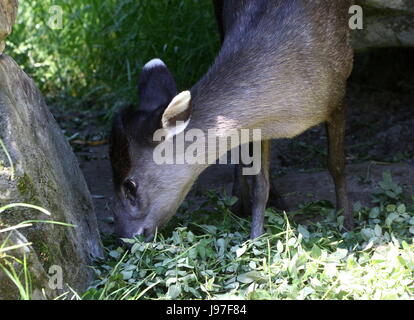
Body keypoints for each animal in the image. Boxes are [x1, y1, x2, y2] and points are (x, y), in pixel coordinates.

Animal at [108, 0, 354, 240]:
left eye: (130, 186)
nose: (123, 237)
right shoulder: (261, 128)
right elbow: (260, 185)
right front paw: (255, 236)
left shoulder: (338, 94)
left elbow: (336, 164)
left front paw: (346, 221)